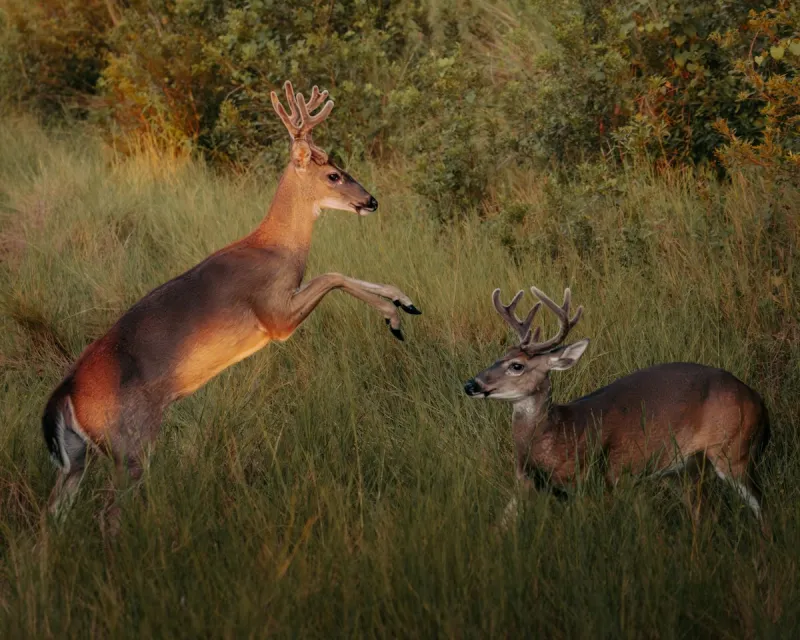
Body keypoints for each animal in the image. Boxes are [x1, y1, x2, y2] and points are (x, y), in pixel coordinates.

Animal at [42, 81, 421, 528]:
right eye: (333, 174)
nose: (371, 200)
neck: (276, 247)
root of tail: (64, 394)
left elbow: (335, 275)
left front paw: (404, 301)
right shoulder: (274, 316)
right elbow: (333, 275)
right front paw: (395, 314)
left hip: (78, 457)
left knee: (53, 513)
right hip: (127, 442)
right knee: (109, 513)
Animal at [463, 285, 770, 528]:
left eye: (517, 366)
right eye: (499, 355)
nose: (471, 384)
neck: (558, 433)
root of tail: (757, 399)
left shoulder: (600, 478)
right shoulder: (525, 482)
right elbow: (499, 525)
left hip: (733, 450)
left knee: (762, 505)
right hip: (687, 469)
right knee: (705, 514)